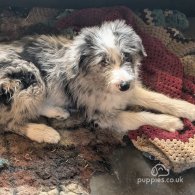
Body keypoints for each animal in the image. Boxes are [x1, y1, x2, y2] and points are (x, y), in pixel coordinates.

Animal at [0, 20, 195, 143]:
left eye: (127, 57)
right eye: (103, 62)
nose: (124, 85)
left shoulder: (129, 89)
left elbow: (159, 98)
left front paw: (188, 109)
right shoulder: (98, 114)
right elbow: (138, 117)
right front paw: (170, 122)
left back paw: (57, 112)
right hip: (29, 77)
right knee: (9, 123)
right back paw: (44, 132)